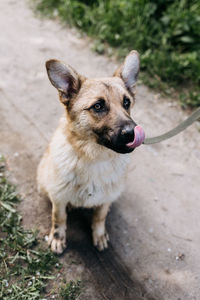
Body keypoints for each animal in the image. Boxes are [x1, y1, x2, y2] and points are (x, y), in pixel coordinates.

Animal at [36, 49, 145, 253]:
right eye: (98, 106)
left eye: (126, 103)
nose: (132, 133)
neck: (95, 158)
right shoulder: (59, 198)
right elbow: (59, 218)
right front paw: (58, 237)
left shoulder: (106, 200)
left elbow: (100, 217)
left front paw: (99, 235)